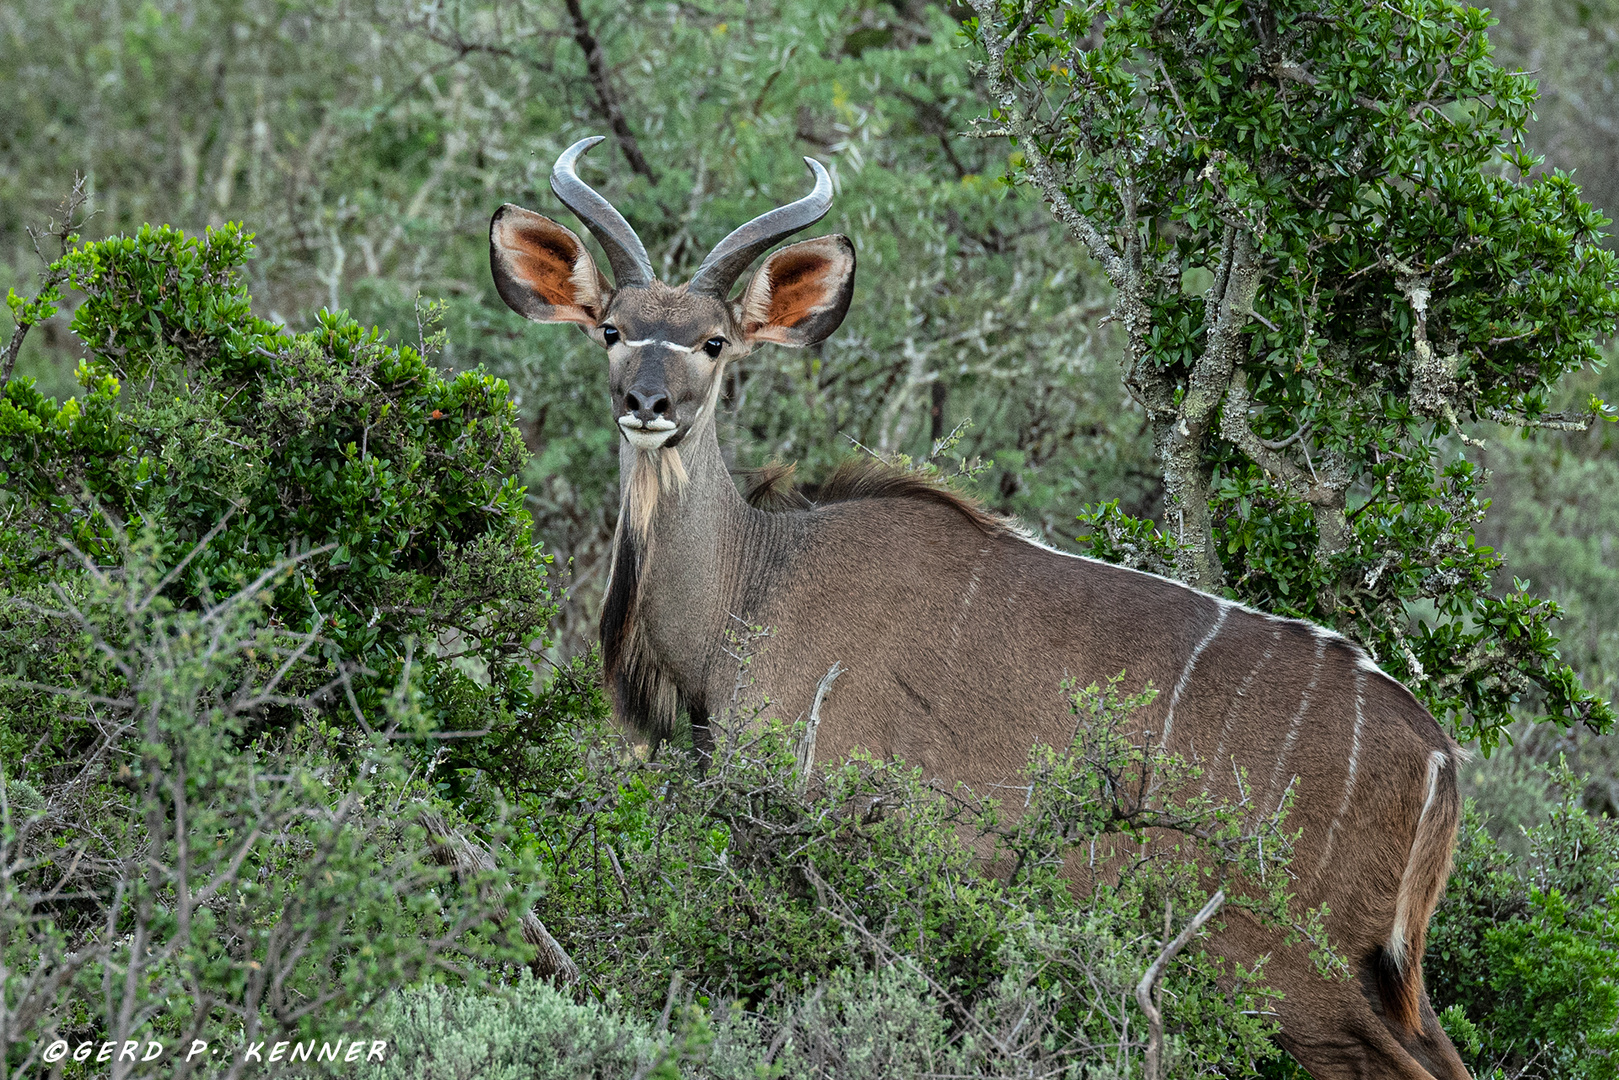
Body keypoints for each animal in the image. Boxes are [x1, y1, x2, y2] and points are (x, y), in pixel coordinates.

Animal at [485, 137, 1476, 1080]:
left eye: (714, 343)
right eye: (612, 329)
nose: (646, 402)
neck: (753, 585)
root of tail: (1435, 755)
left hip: (1277, 965)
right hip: (1384, 976)